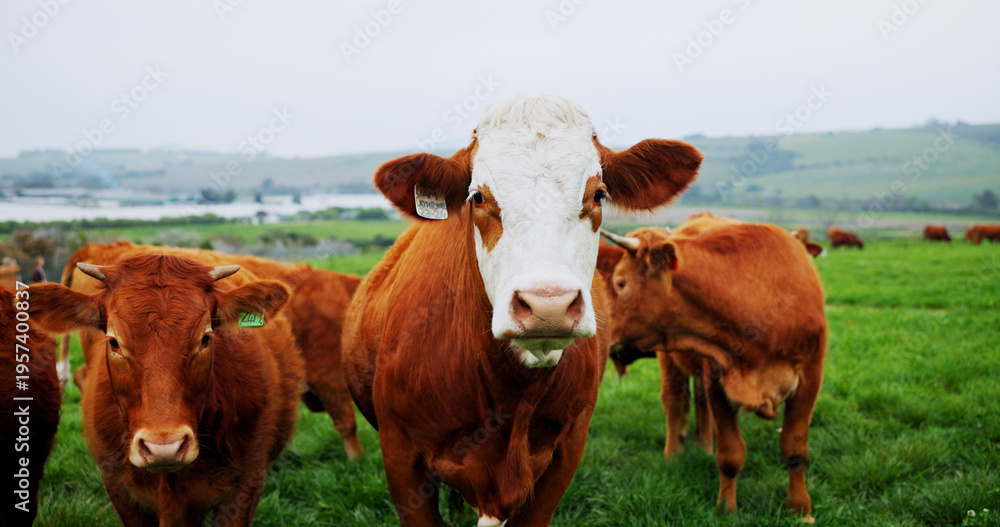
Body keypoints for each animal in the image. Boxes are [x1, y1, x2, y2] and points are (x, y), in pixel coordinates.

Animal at [342, 95, 701, 526]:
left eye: (598, 195)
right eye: (478, 197)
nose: (549, 305)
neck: (510, 393)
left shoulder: (564, 455)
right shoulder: (401, 460)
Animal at [599, 217, 826, 523]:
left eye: (620, 282)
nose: (603, 333)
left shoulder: (810, 379)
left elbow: (795, 448)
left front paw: (801, 509)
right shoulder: (718, 380)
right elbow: (730, 454)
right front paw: (726, 509)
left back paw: (704, 445)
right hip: (670, 361)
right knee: (674, 401)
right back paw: (674, 453)